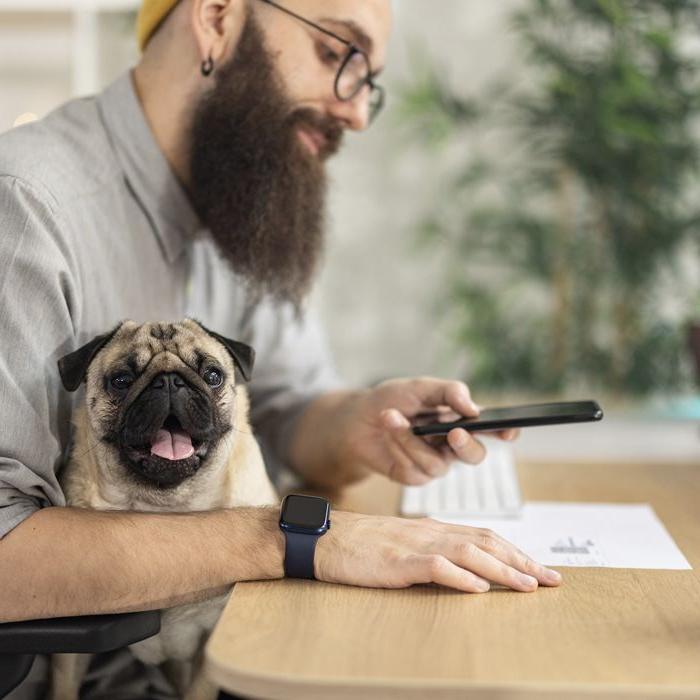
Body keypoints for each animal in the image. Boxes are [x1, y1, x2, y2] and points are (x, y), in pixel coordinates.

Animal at [50, 320, 278, 700]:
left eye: (213, 375)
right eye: (121, 380)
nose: (170, 381)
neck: (170, 507)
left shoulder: (210, 647)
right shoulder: (70, 654)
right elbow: (63, 689)